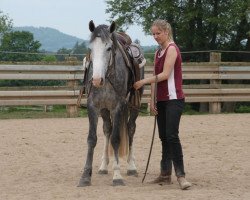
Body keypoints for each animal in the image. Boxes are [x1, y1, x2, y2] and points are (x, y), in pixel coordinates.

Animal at [78, 20, 145, 186]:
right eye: (90, 49)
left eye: (109, 48)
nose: (96, 80)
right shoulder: (93, 107)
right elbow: (92, 139)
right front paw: (85, 176)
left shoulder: (117, 107)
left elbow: (116, 139)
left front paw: (117, 176)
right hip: (105, 109)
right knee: (107, 129)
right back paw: (103, 166)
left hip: (135, 103)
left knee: (130, 128)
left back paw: (131, 166)